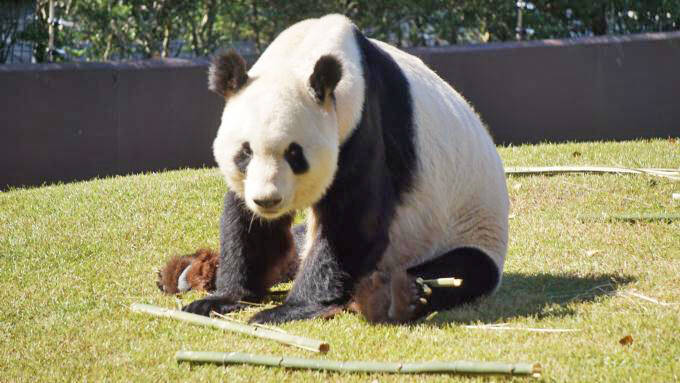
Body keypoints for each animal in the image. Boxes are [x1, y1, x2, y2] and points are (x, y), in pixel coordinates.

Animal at [182, 15, 510, 326]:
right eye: (245, 152)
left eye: (294, 153)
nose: (267, 200)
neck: (305, 53)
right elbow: (249, 223)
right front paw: (221, 298)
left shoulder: (363, 124)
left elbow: (353, 221)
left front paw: (287, 310)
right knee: (297, 244)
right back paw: (193, 272)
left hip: (467, 230)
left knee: (463, 271)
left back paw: (396, 297)